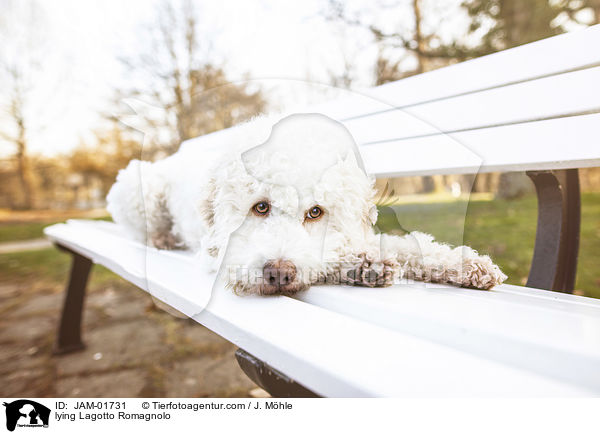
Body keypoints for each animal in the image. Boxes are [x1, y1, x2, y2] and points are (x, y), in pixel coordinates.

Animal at [106, 113, 506, 294]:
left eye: (315, 212)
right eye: (260, 207)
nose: (278, 272)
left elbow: (408, 246)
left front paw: (465, 264)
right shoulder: (219, 254)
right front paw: (363, 264)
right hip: (135, 187)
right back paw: (161, 238)